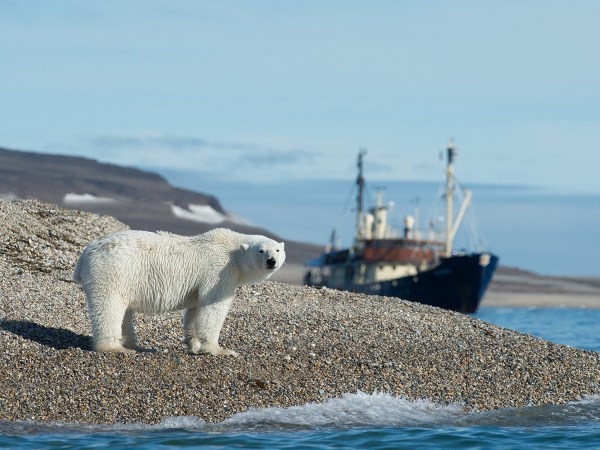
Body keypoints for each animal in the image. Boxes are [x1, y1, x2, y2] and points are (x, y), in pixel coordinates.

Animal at [71, 229, 284, 356]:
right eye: (261, 250)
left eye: (277, 250)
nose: (271, 261)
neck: (233, 250)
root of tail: (84, 256)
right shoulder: (219, 271)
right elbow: (214, 308)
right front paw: (220, 350)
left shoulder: (200, 284)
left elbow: (195, 310)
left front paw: (194, 344)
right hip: (112, 272)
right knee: (110, 307)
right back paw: (115, 348)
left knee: (125, 312)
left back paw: (135, 345)